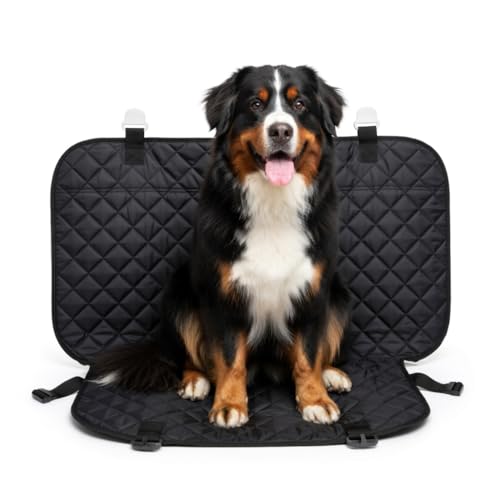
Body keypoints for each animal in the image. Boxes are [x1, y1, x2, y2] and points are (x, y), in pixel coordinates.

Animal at [93, 65, 352, 428]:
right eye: (255, 105)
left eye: (299, 104)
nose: (281, 131)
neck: (273, 205)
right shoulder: (223, 296)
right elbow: (230, 360)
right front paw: (229, 405)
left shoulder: (313, 292)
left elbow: (308, 355)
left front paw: (315, 399)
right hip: (180, 292)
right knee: (193, 357)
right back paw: (195, 381)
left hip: (339, 295)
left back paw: (332, 374)